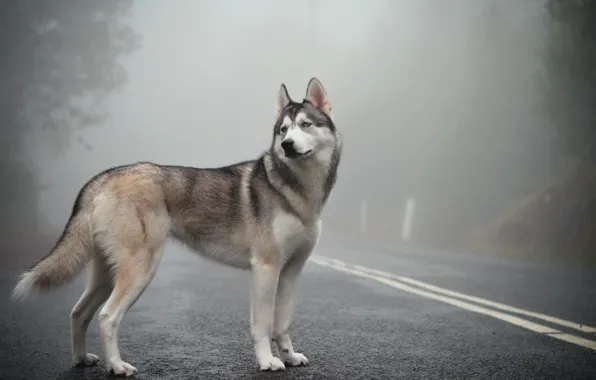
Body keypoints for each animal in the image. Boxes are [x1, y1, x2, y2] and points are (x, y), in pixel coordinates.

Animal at [11, 78, 342, 378]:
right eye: (283, 130)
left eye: (306, 125)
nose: (287, 145)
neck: (297, 191)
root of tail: (103, 177)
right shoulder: (265, 267)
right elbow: (262, 326)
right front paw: (267, 361)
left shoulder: (290, 272)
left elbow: (282, 324)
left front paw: (289, 357)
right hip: (140, 269)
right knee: (107, 317)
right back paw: (116, 366)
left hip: (105, 276)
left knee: (79, 313)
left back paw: (81, 359)